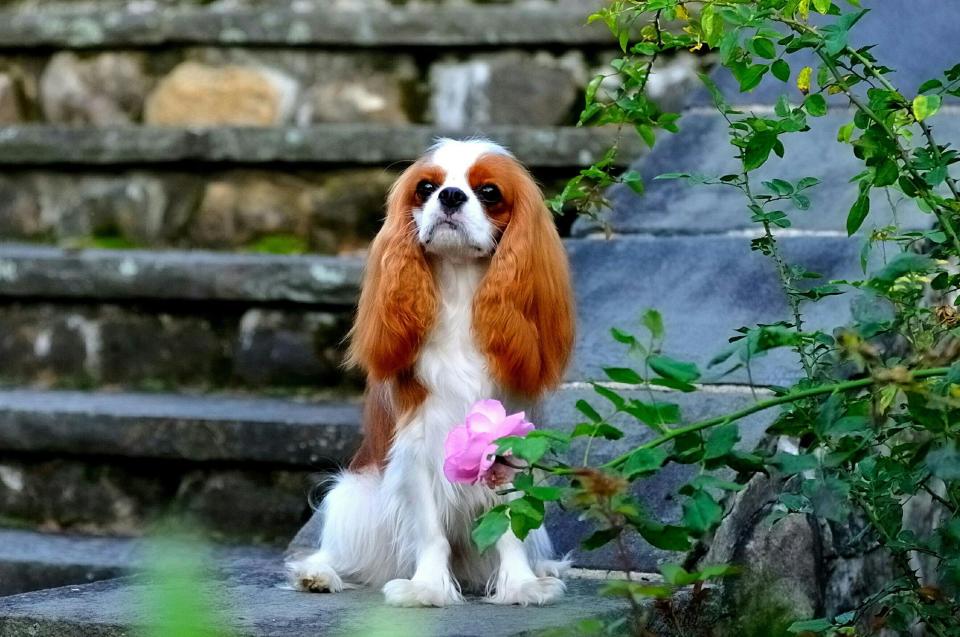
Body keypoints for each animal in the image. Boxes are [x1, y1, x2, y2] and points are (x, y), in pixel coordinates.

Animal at [282, 138, 572, 608]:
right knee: (341, 554)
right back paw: (318, 574)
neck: (459, 287)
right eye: (426, 188)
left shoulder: (506, 441)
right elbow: (430, 530)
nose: (450, 196)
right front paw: (428, 588)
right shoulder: (418, 445)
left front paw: (521, 584)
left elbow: (510, 528)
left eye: (489, 192)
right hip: (354, 499)